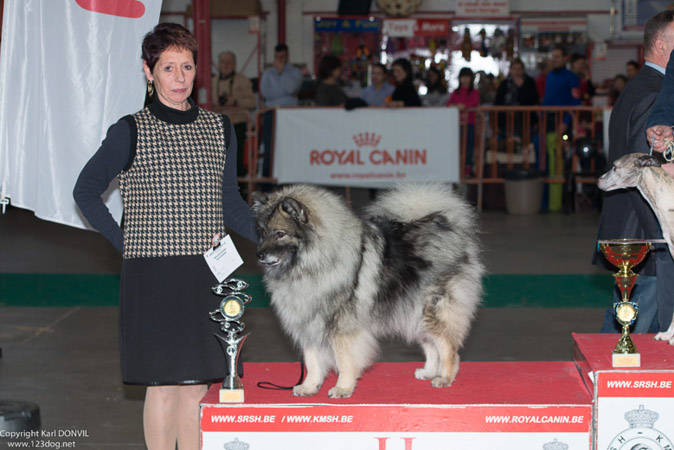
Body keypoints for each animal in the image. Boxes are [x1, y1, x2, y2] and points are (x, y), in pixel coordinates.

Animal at [249, 184, 480, 398]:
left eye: (280, 233)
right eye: (262, 233)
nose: (259, 255)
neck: (313, 264)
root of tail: (446, 225)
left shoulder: (342, 327)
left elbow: (344, 360)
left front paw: (343, 388)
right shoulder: (310, 323)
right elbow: (312, 361)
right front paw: (309, 387)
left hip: (432, 310)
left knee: (448, 348)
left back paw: (445, 377)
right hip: (413, 311)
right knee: (431, 345)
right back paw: (429, 372)